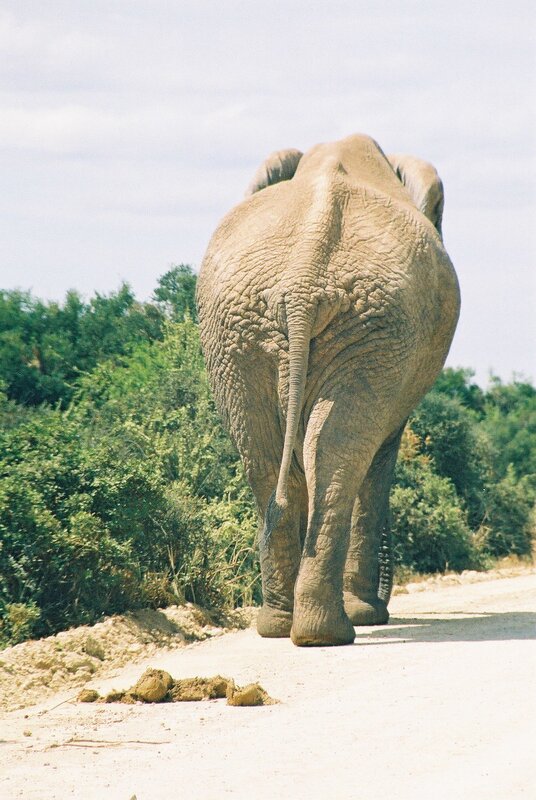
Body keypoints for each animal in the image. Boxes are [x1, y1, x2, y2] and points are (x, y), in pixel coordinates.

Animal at [197, 133, 460, 647]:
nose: (385, 602)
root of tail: (303, 279)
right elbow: (382, 454)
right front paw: (370, 614)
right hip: (350, 326)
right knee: (338, 452)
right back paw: (335, 628)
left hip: (257, 331)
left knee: (275, 453)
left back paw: (287, 627)